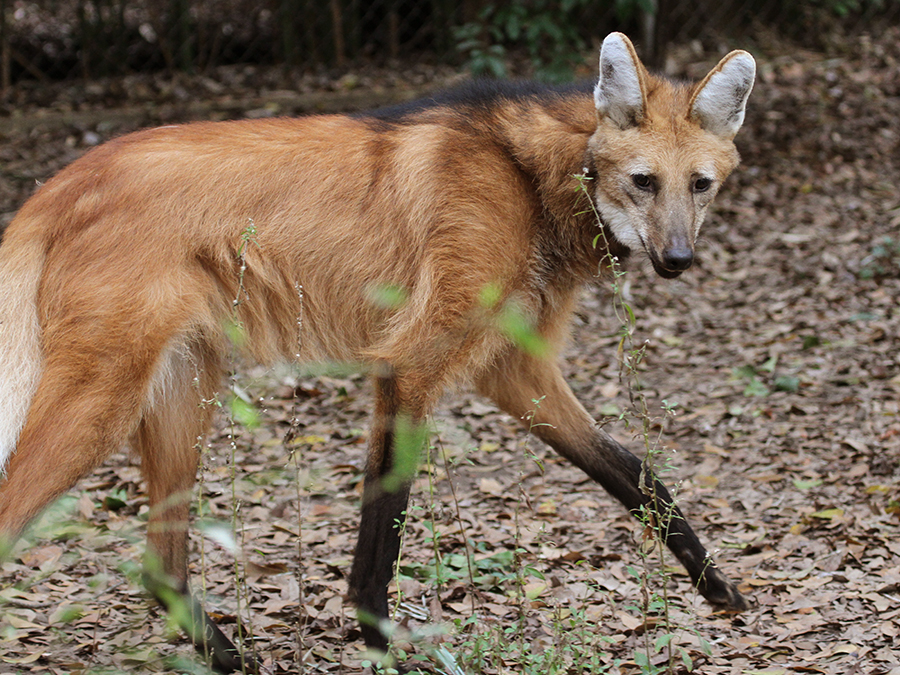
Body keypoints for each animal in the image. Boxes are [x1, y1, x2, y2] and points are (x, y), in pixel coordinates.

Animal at [0, 33, 756, 675]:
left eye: (700, 184)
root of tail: (59, 182)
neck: (532, 177)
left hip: (186, 390)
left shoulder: (515, 371)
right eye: (643, 181)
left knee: (160, 566)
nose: (677, 260)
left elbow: (633, 471)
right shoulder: (411, 362)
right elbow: (385, 521)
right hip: (104, 403)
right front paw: (378, 638)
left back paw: (231, 658)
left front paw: (717, 586)